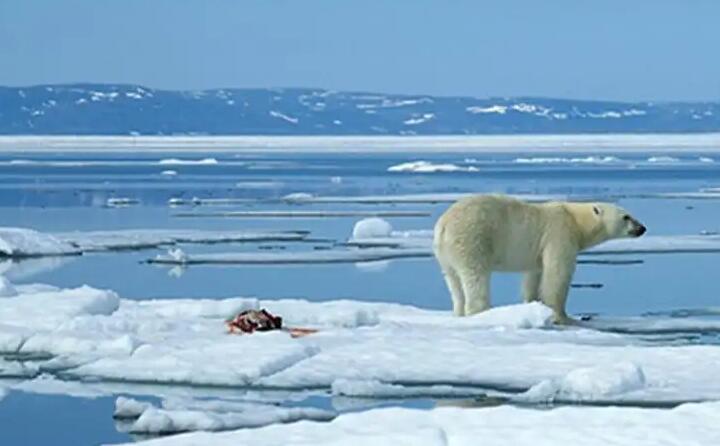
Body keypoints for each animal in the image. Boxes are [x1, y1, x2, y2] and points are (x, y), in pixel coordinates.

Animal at [434, 195, 648, 324]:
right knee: (475, 275)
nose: (642, 228)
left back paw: (458, 311)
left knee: (453, 281)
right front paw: (563, 317)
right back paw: (481, 311)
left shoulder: (538, 250)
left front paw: (533, 306)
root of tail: (443, 225)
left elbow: (534, 276)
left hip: (445, 254)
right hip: (472, 238)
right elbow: (557, 274)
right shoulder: (560, 233)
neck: (576, 220)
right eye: (626, 217)